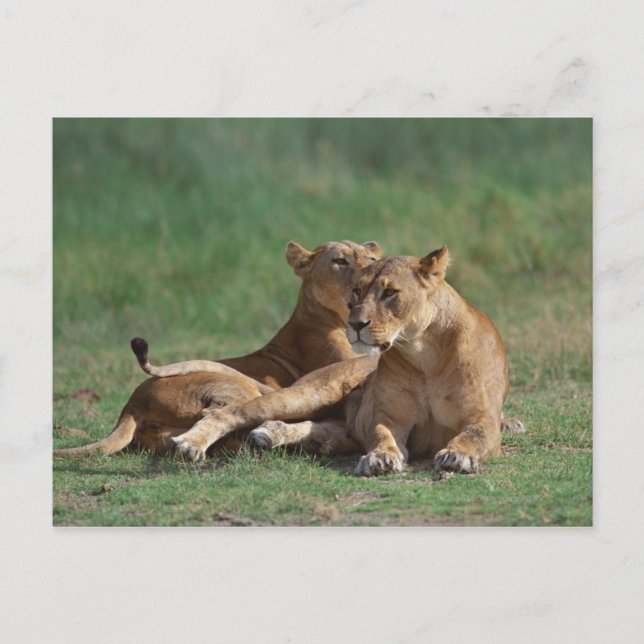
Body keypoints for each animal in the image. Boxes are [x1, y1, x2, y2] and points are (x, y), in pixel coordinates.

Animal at [53, 240, 381, 457]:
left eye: (369, 256)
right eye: (340, 261)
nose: (372, 270)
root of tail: (131, 405)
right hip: (237, 388)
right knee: (220, 414)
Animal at [172, 246, 523, 471]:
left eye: (389, 293)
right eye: (357, 291)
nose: (355, 324)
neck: (425, 353)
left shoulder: (482, 417)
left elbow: (475, 435)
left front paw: (456, 455)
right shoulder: (389, 417)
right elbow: (382, 434)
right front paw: (380, 458)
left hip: (339, 423)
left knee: (321, 429)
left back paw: (269, 434)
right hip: (311, 393)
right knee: (231, 412)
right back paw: (192, 444)